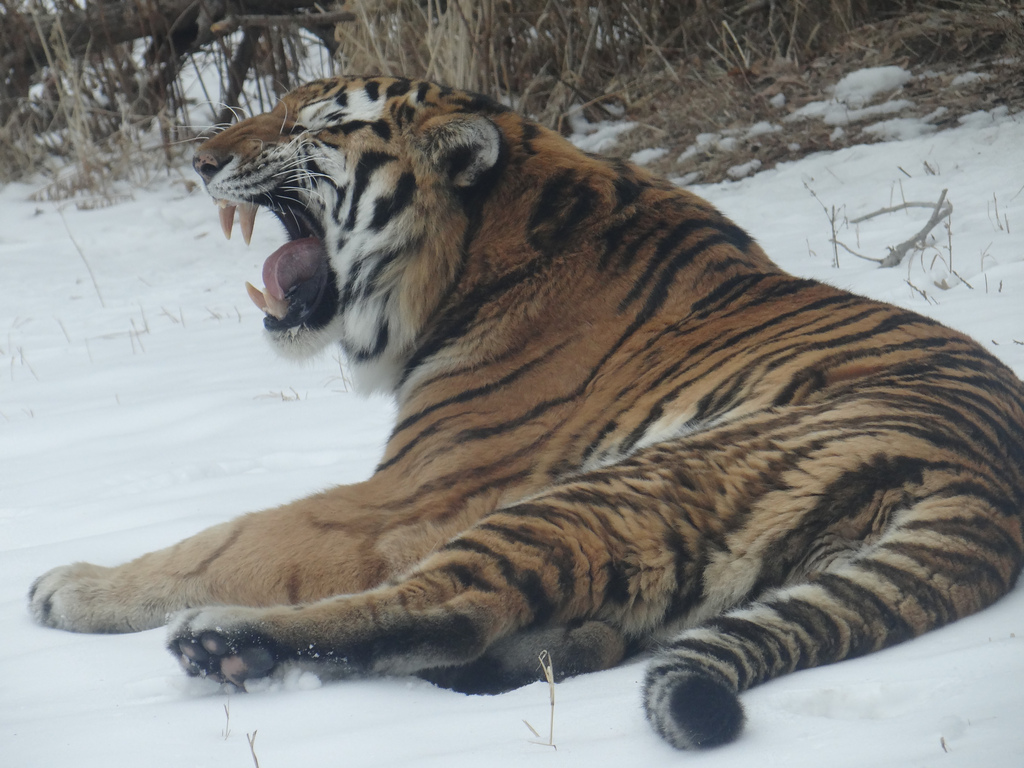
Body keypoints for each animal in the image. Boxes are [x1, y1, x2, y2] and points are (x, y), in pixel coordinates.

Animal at [28, 75, 1024, 750]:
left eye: (312, 124)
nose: (200, 161)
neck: (470, 253)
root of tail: (989, 499)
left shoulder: (408, 492)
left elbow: (227, 543)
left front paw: (67, 587)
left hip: (619, 486)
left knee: (446, 607)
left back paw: (226, 645)